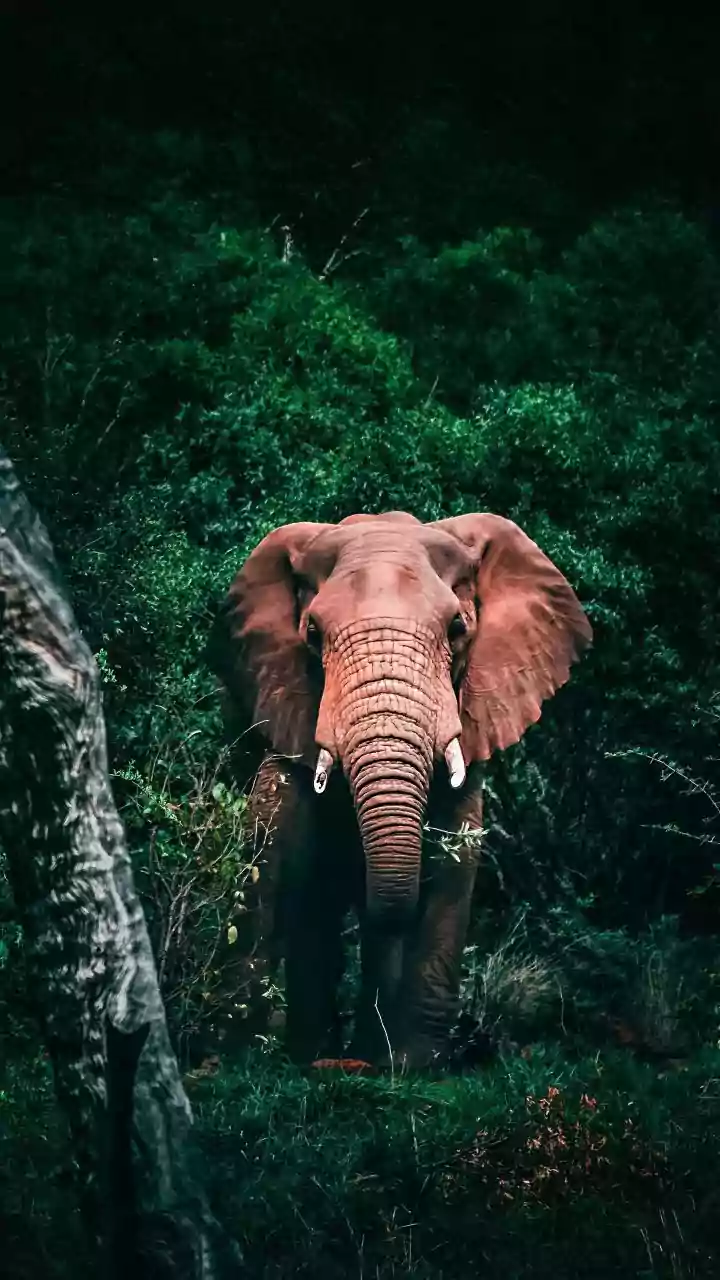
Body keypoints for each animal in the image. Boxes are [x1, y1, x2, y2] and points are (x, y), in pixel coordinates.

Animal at [207, 510, 592, 1070]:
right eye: (312, 633)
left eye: (457, 629)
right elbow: (276, 851)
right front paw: (244, 1050)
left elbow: (455, 858)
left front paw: (415, 1064)